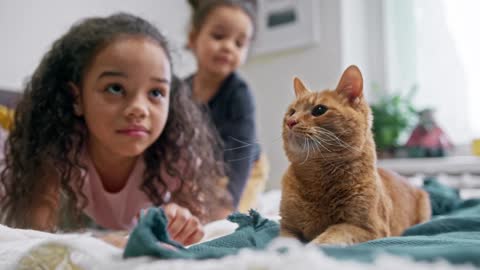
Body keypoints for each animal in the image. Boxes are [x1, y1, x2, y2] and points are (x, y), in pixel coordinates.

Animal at [278, 65, 432, 245]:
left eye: (319, 110)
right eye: (291, 112)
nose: (291, 122)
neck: (315, 178)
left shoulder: (367, 228)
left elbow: (331, 234)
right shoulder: (287, 228)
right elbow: (282, 242)